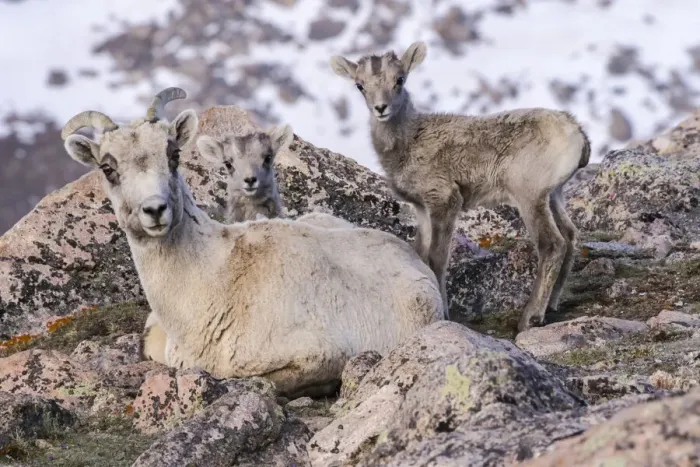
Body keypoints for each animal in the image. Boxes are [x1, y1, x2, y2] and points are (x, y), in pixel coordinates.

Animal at [330, 42, 590, 332]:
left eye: (400, 79)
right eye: (360, 85)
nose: (380, 108)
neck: (409, 143)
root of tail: (578, 133)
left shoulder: (445, 199)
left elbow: (437, 259)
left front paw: (444, 313)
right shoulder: (422, 208)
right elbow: (420, 254)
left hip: (529, 194)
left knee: (552, 244)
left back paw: (530, 318)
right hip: (553, 194)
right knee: (570, 235)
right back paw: (552, 305)